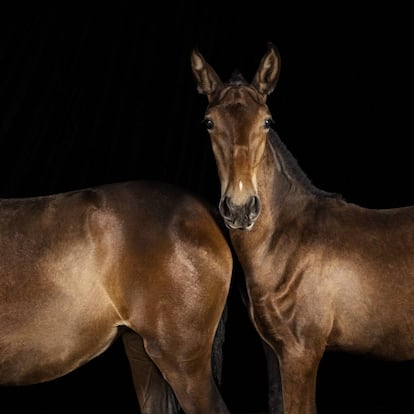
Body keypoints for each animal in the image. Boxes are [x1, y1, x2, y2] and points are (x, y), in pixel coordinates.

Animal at [192, 42, 414, 414]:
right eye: (209, 122)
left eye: (267, 121)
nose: (240, 207)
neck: (287, 243)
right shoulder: (275, 353)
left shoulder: (302, 354)